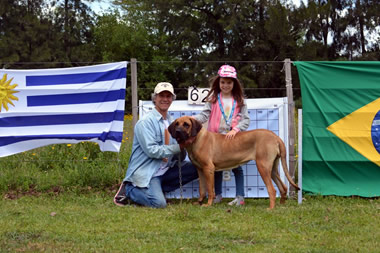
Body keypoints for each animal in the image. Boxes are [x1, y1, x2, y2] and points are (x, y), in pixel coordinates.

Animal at [169, 115, 300, 209]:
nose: (178, 131)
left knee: (272, 189)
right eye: (176, 124)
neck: (196, 139)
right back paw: (281, 205)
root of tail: (276, 137)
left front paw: (208, 204)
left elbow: (210, 189)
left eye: (186, 124)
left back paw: (271, 208)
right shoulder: (200, 170)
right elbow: (202, 189)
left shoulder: (208, 169)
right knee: (283, 187)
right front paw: (199, 202)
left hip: (263, 166)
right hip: (272, 168)